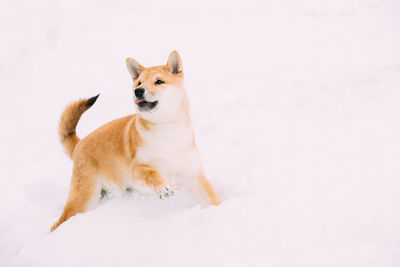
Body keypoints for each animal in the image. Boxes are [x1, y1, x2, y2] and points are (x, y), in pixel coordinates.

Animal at [50, 51, 222, 232]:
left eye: (159, 81)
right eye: (139, 82)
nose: (138, 91)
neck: (166, 128)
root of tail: (79, 144)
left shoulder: (193, 175)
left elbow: (211, 197)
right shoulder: (137, 169)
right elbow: (151, 174)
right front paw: (163, 187)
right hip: (85, 196)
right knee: (59, 222)